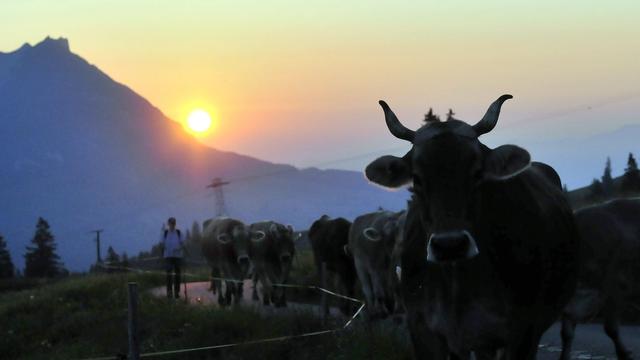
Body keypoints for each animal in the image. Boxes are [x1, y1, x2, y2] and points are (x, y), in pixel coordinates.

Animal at [364, 94, 580, 358]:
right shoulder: (423, 331)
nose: (450, 245)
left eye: (477, 174)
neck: (458, 281)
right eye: (417, 179)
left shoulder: (524, 331)